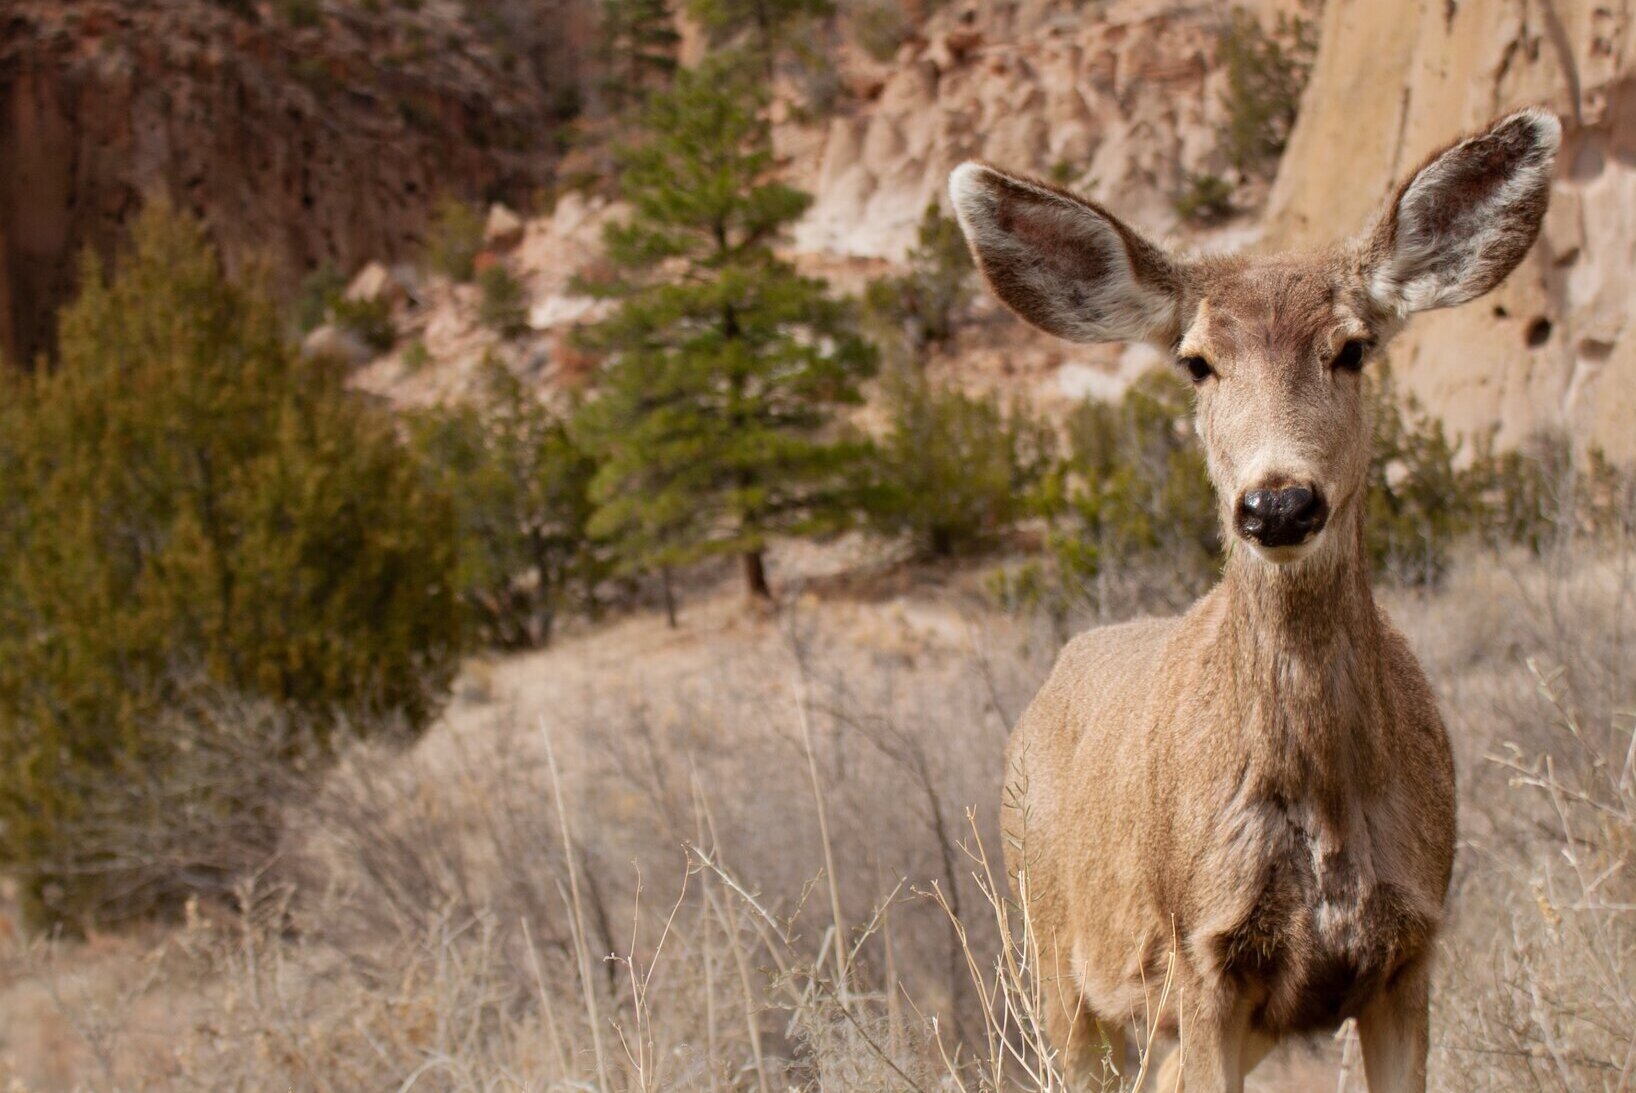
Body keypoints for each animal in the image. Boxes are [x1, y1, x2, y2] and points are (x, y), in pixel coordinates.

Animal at [955, 104, 1564, 1093]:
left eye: (1352, 348)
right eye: (1198, 363)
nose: (1278, 502)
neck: (1322, 807)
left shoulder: (1410, 949)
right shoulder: (1203, 954)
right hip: (1051, 954)